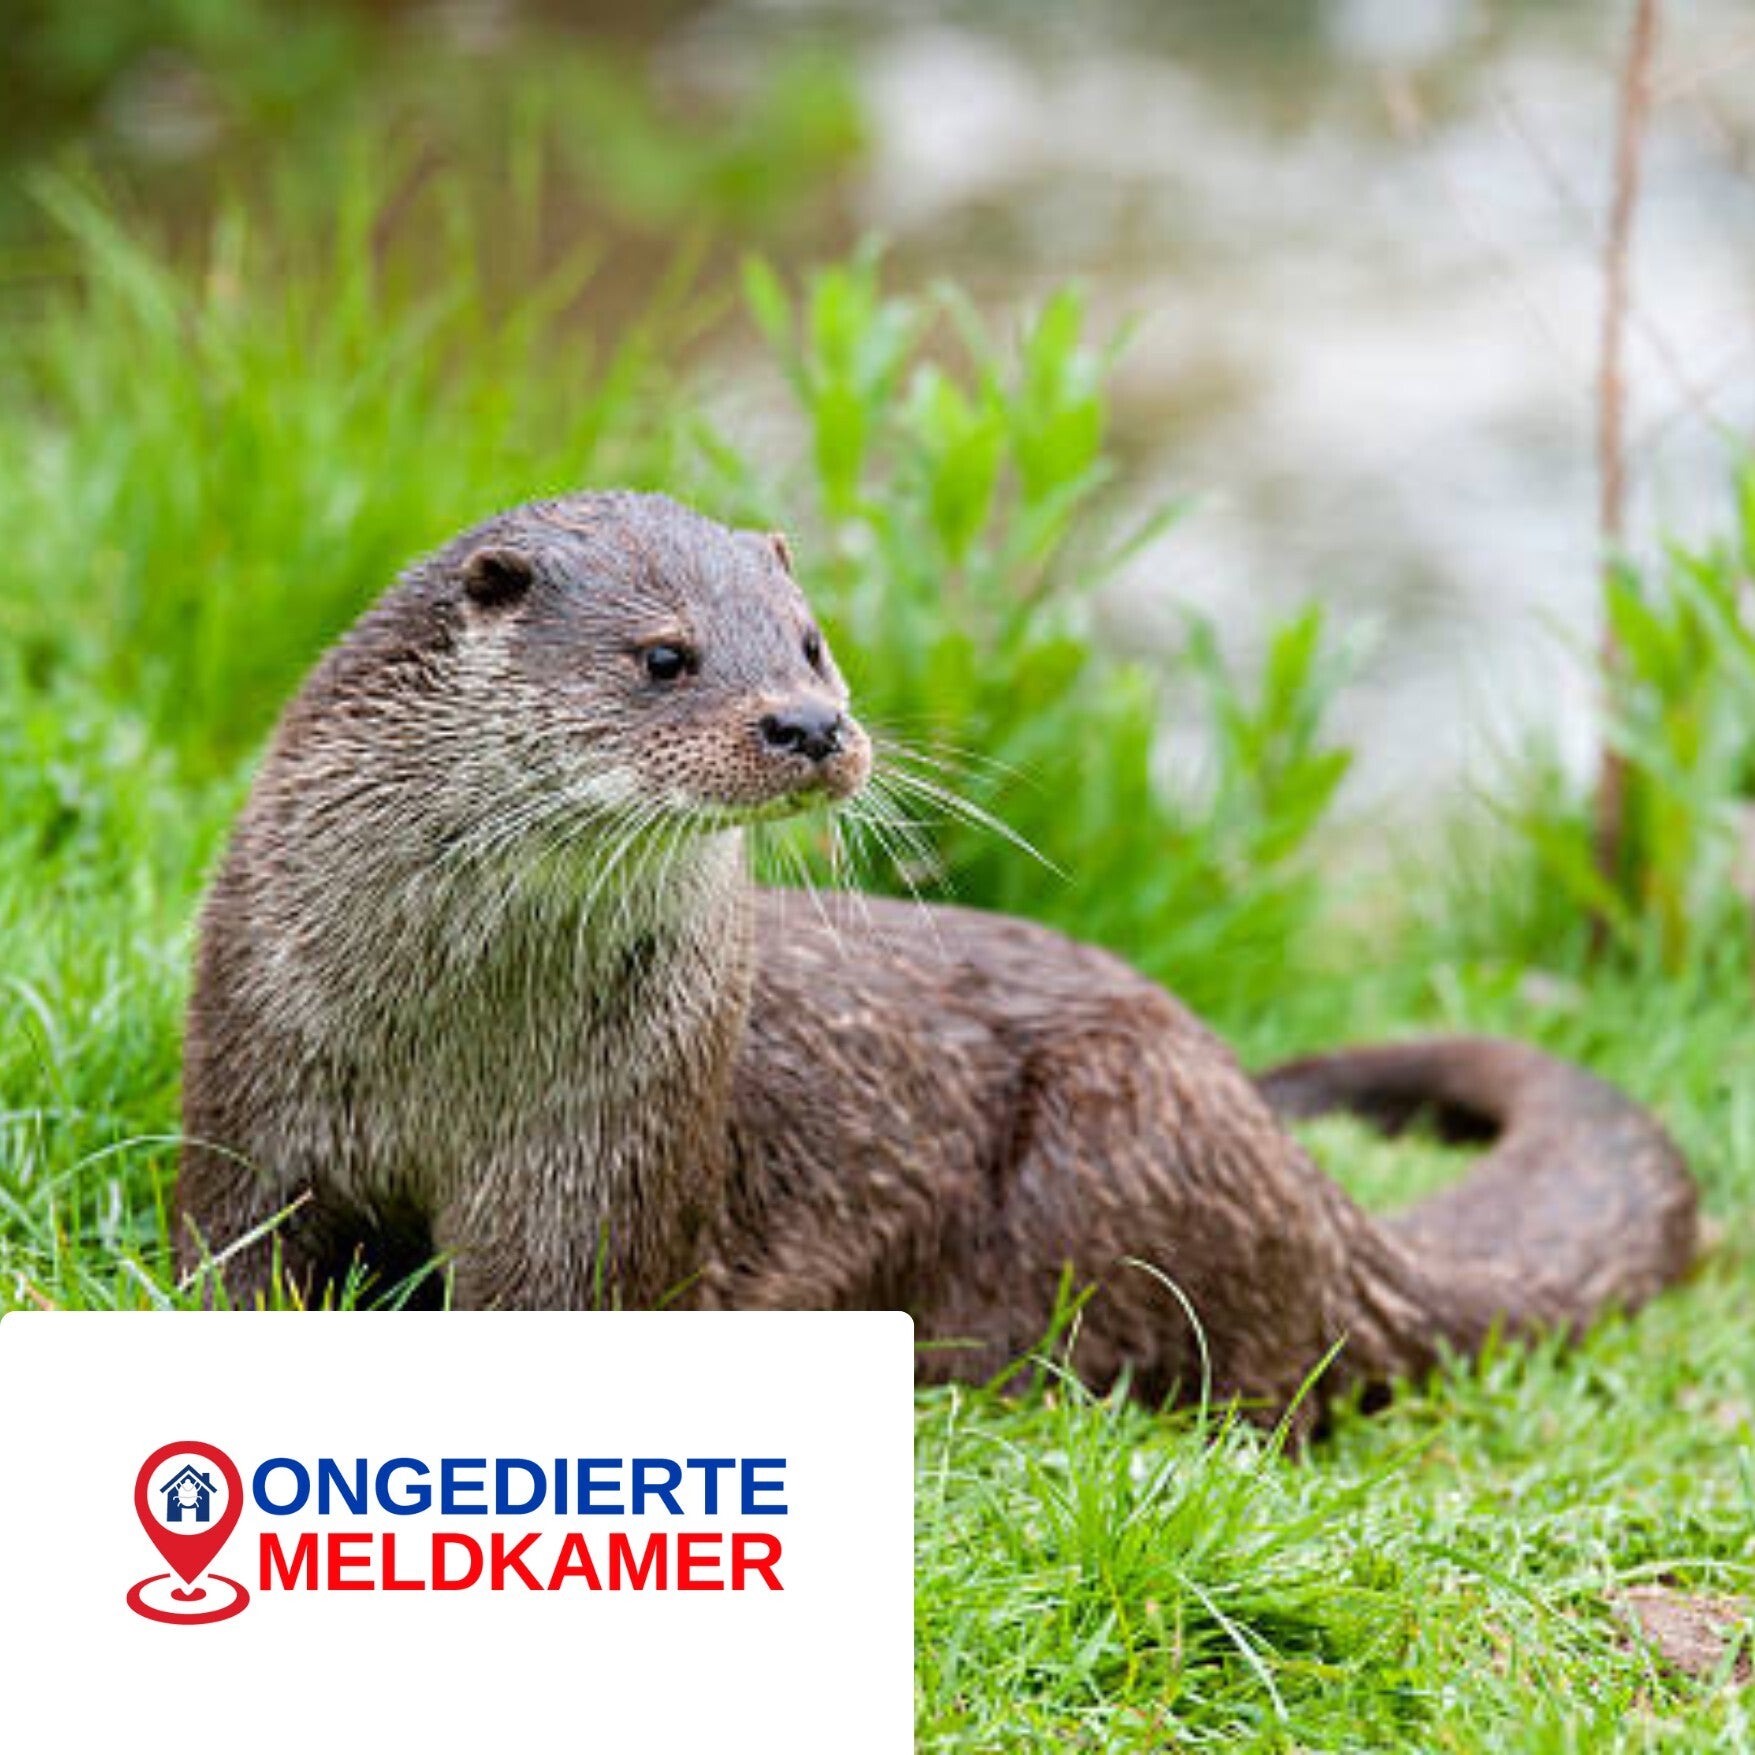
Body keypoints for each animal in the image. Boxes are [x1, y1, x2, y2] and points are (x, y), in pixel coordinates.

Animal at [179, 491, 1698, 1427]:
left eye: (811, 643)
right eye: (663, 655)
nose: (807, 724)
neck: (454, 1036)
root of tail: (1317, 1202)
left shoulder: (604, 1156)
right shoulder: (257, 1071)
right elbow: (233, 1249)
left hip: (1127, 1134)